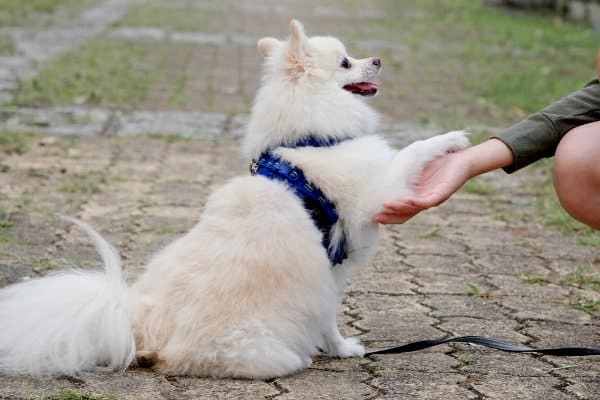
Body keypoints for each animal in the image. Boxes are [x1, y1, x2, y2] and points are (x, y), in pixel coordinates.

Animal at [0, 21, 468, 378]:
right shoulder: (376, 191)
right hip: (253, 347)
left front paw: (338, 348)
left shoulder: (330, 273)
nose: (380, 60)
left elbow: (328, 318)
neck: (310, 141)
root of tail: (136, 321)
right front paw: (451, 139)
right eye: (345, 62)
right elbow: (412, 151)